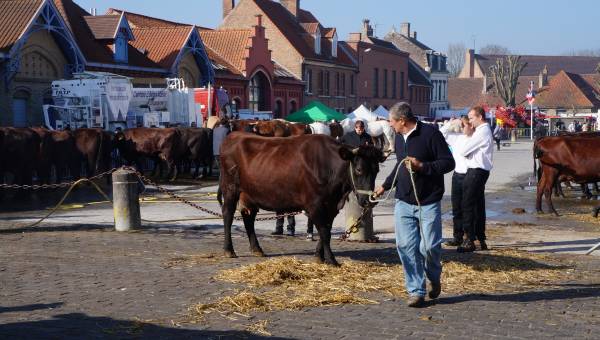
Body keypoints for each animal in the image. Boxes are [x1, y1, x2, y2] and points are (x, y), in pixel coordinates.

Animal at [219, 133, 384, 266]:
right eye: (359, 169)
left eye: (377, 170)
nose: (369, 201)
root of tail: (233, 135)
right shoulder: (315, 205)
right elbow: (324, 232)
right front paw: (331, 260)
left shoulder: (331, 206)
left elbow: (327, 230)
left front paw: (319, 256)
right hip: (230, 188)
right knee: (228, 215)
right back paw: (228, 250)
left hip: (250, 194)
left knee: (248, 218)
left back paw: (257, 249)